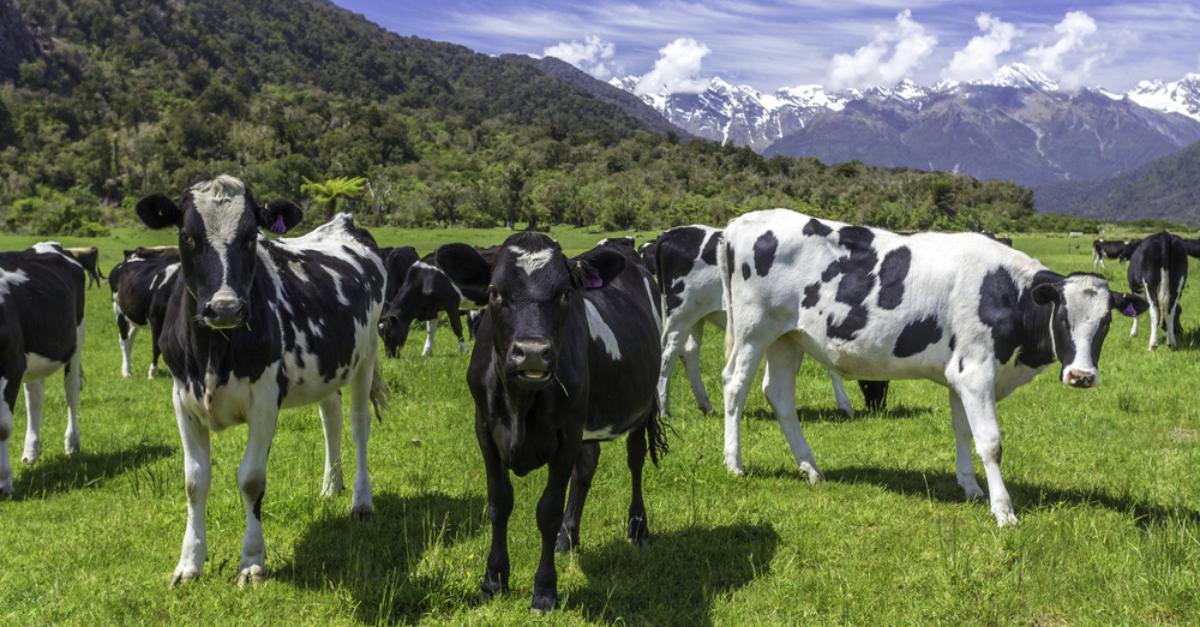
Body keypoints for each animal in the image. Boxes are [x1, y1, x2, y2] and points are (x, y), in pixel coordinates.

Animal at [0, 243, 86, 495]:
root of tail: (50, 245)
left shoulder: (12, 366)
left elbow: (2, 426)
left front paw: (4, 481)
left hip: (77, 336)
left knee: (71, 392)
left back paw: (72, 443)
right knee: (35, 401)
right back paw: (31, 452)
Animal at [134, 175, 388, 587]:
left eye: (251, 236)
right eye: (187, 235)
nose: (224, 308)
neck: (212, 353)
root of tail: (342, 221)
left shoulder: (266, 399)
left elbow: (251, 479)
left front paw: (252, 561)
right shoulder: (182, 399)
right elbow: (194, 481)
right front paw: (189, 563)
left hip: (366, 355)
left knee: (358, 425)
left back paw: (360, 501)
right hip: (328, 368)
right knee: (331, 418)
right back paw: (330, 486)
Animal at [436, 232, 666, 612]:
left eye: (565, 293)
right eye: (495, 292)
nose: (531, 353)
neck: (520, 405)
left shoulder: (567, 435)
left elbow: (548, 510)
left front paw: (544, 591)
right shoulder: (485, 430)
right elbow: (499, 502)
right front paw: (494, 580)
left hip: (642, 404)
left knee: (636, 458)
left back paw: (637, 526)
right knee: (587, 467)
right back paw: (567, 537)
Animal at [653, 224, 889, 417]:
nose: (879, 406)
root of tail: (672, 233)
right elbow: (830, 368)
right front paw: (845, 406)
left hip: (696, 317)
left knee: (689, 353)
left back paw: (705, 405)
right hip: (680, 313)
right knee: (667, 354)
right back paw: (665, 410)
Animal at [719, 209, 1148, 527]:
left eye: (1105, 323)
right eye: (1061, 318)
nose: (1081, 376)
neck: (1007, 293)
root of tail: (741, 222)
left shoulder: (961, 375)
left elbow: (963, 430)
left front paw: (971, 488)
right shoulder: (976, 372)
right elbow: (990, 443)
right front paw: (1003, 511)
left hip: (787, 337)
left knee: (779, 396)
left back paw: (810, 469)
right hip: (754, 330)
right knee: (735, 386)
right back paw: (734, 463)